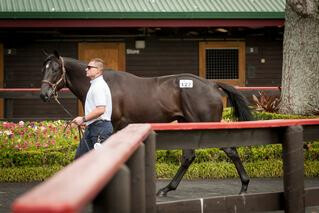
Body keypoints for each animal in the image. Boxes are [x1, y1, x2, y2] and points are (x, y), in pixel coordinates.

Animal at [40, 50, 255, 196]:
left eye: (56, 69)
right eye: (44, 68)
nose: (44, 94)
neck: (104, 84)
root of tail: (212, 84)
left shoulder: (116, 126)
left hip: (208, 125)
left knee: (230, 150)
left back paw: (244, 186)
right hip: (188, 124)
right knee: (188, 156)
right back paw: (166, 189)